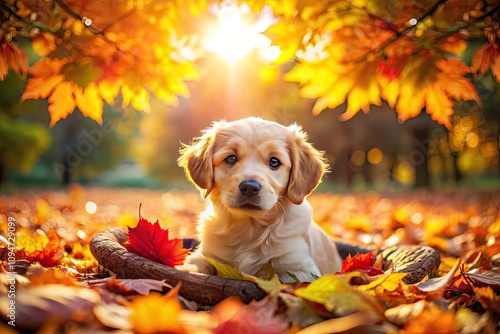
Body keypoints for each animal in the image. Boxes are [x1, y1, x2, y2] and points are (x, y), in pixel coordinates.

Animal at [178, 117, 342, 282]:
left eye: (274, 162)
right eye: (231, 158)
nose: (250, 187)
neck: (249, 228)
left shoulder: (302, 270)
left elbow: (278, 279)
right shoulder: (206, 255)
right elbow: (197, 265)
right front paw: (189, 271)